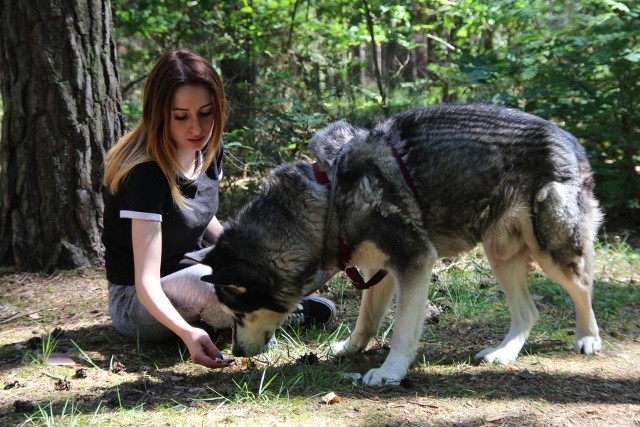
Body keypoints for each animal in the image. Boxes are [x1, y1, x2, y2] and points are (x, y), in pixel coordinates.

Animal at [201, 104, 604, 388]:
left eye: (238, 312)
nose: (235, 352)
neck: (329, 198)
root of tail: (572, 142)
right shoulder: (378, 271)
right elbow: (366, 320)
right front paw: (349, 349)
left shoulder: (414, 262)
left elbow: (401, 330)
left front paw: (389, 372)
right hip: (500, 256)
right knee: (529, 313)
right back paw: (504, 354)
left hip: (551, 251)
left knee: (583, 286)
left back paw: (587, 339)